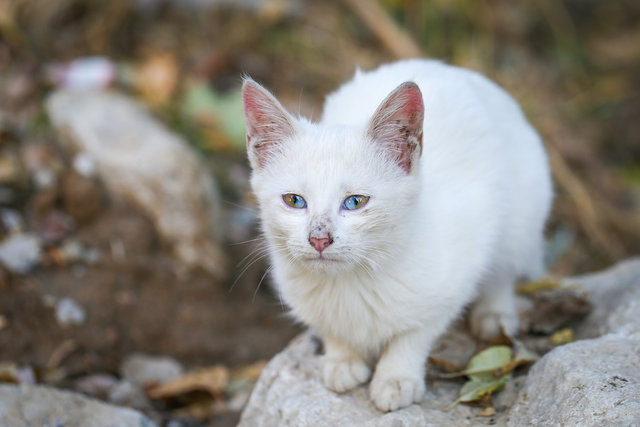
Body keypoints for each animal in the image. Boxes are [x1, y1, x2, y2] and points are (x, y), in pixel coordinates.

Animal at [242, 58, 552, 412]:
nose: (319, 238)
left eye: (355, 202)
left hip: (522, 215)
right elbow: (328, 325)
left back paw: (495, 316)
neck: (351, 281)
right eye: (294, 200)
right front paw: (342, 359)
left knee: (504, 268)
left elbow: (415, 333)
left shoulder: (460, 263)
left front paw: (396, 378)